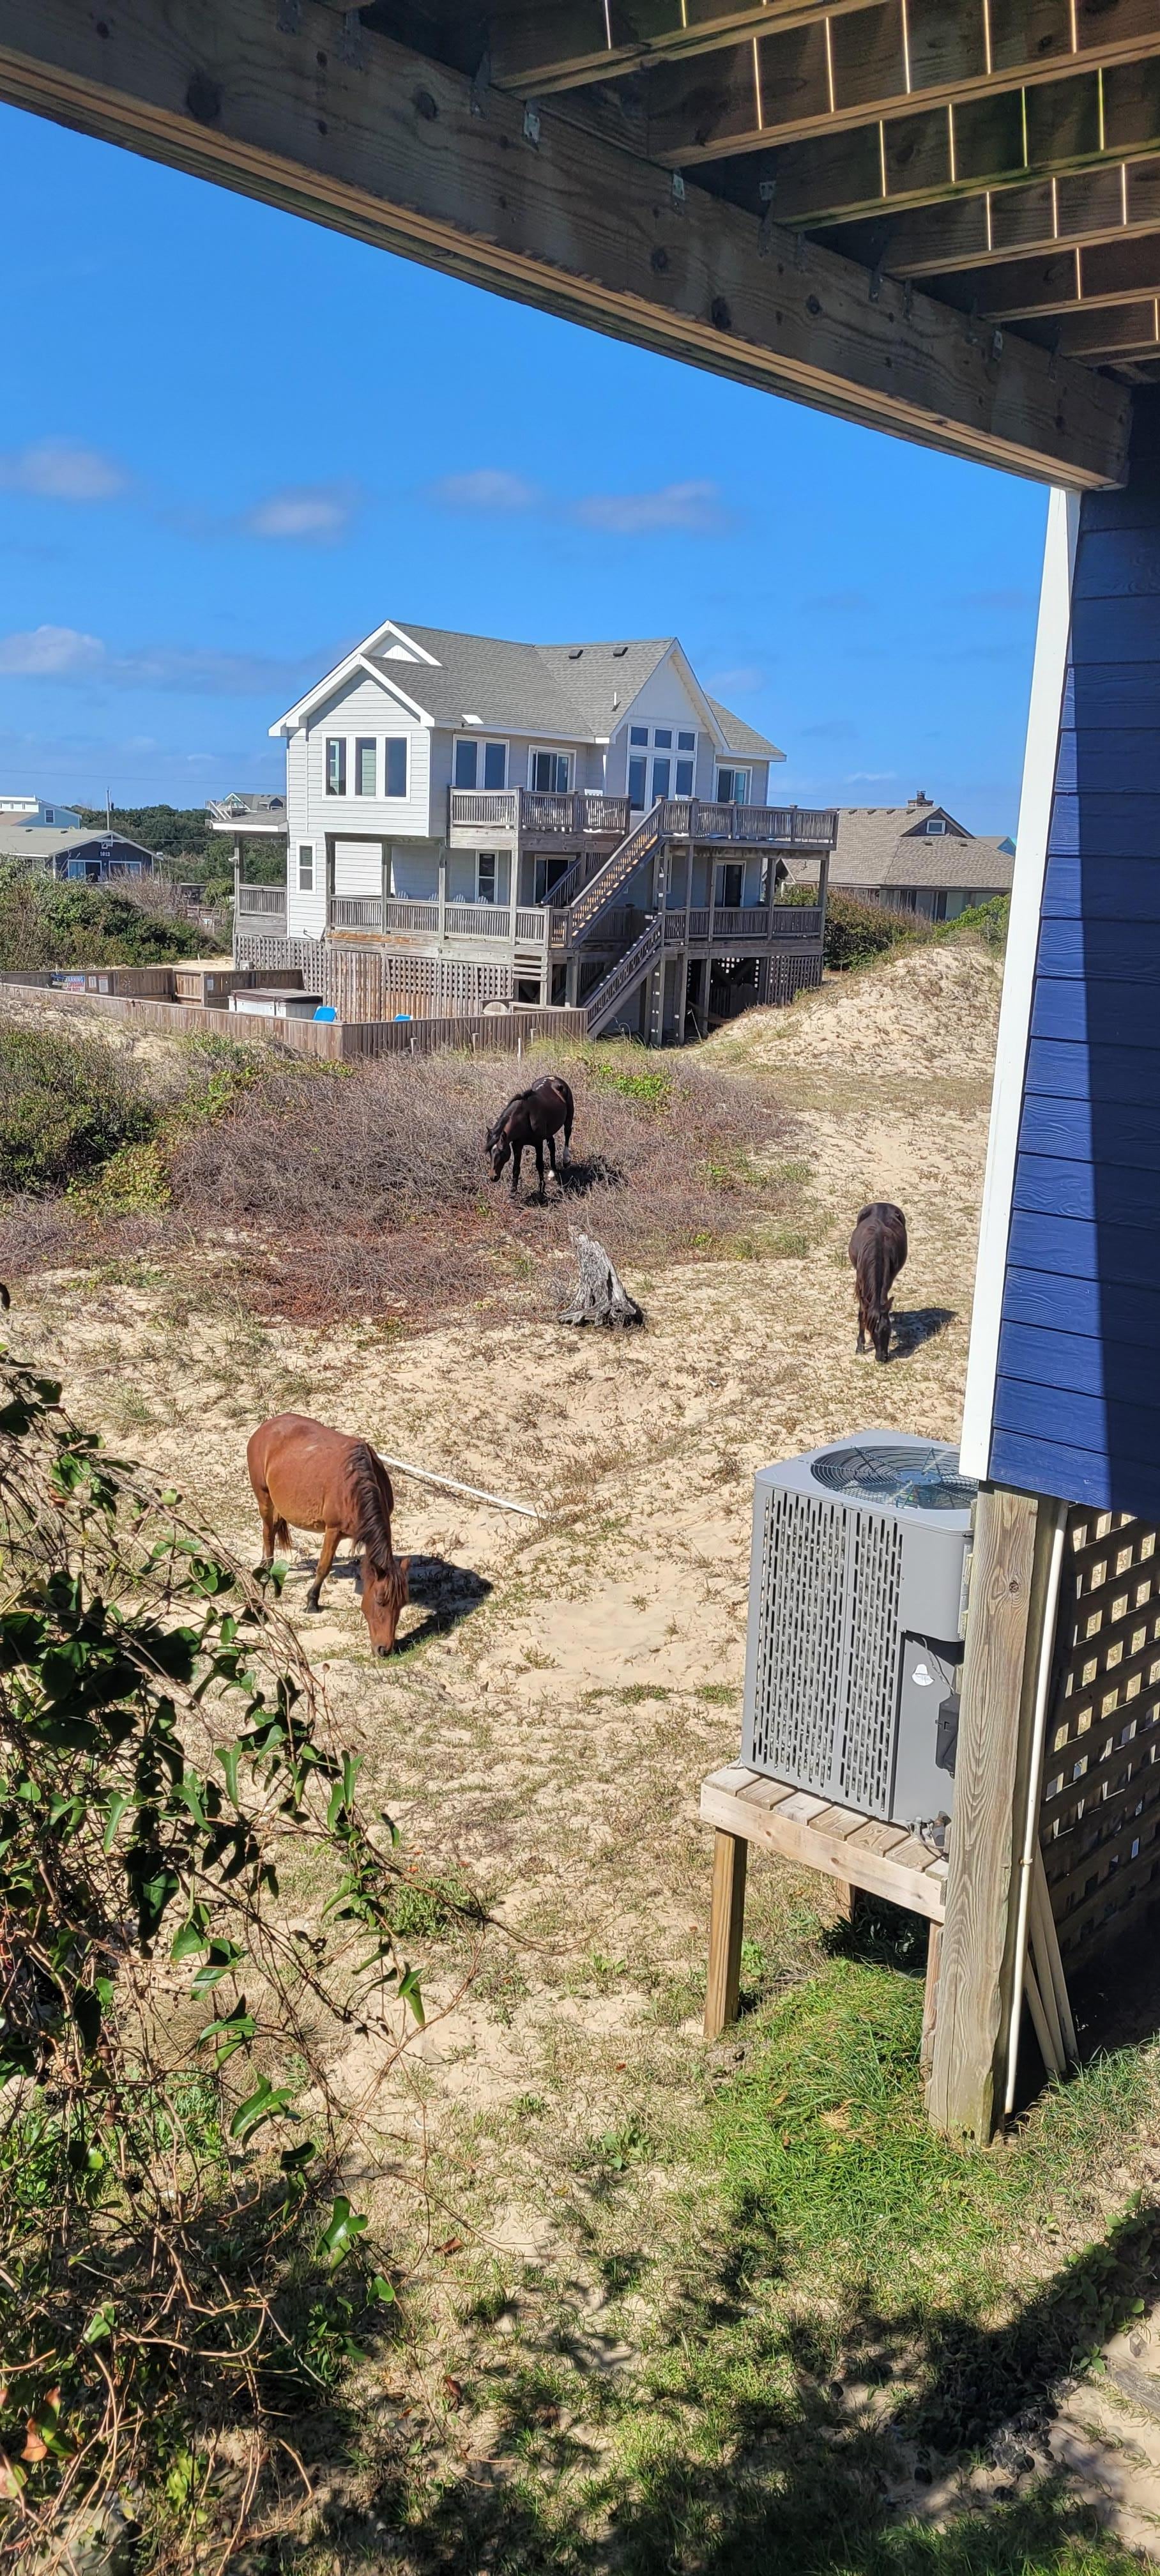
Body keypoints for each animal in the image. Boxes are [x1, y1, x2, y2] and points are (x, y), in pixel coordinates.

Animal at [246, 1413, 410, 1653]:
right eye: (380, 1601)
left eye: (402, 1604)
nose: (385, 1649)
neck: (356, 1487)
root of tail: (267, 1426)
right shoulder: (333, 1531)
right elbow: (324, 1566)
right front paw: (312, 1602)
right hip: (264, 1498)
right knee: (268, 1535)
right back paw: (266, 1570)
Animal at [486, 1075, 574, 1200]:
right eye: (490, 1152)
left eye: (502, 1152)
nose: (493, 1177)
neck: (525, 1118)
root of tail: (556, 1079)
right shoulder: (517, 1145)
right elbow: (516, 1168)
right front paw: (512, 1193)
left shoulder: (538, 1143)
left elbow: (539, 1165)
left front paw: (541, 1191)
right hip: (549, 1132)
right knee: (552, 1145)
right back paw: (552, 1172)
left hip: (569, 1116)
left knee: (567, 1132)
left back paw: (566, 1160)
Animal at [848, 1201, 908, 1363]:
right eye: (872, 1330)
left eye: (887, 1329)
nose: (882, 1357)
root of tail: (882, 1204)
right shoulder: (860, 1283)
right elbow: (862, 1313)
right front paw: (860, 1347)